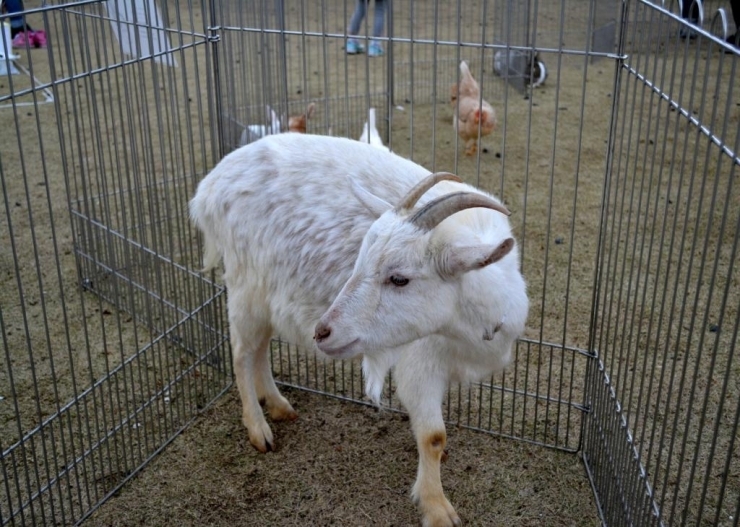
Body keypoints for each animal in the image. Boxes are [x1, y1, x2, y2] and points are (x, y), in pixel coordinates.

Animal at [189, 133, 528, 527]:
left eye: (399, 278)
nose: (323, 332)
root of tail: (210, 185)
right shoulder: (420, 360)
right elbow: (433, 436)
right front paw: (436, 507)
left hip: (269, 295)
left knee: (259, 348)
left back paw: (277, 405)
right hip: (246, 284)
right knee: (242, 352)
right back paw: (259, 430)